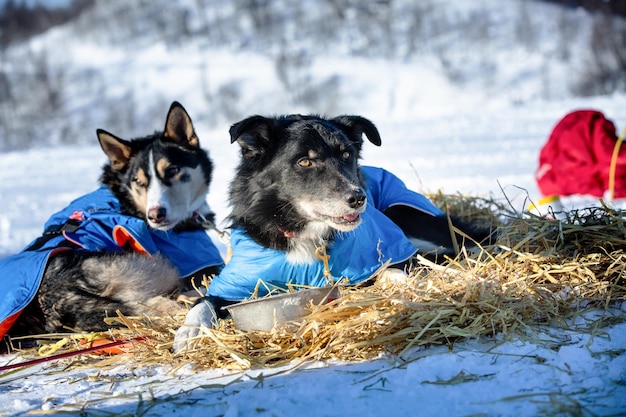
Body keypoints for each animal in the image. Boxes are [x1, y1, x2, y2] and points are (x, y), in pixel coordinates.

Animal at [5, 102, 217, 340]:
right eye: (139, 182)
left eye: (172, 170)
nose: (155, 215)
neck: (124, 198)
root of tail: (51, 298)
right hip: (154, 267)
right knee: (159, 302)